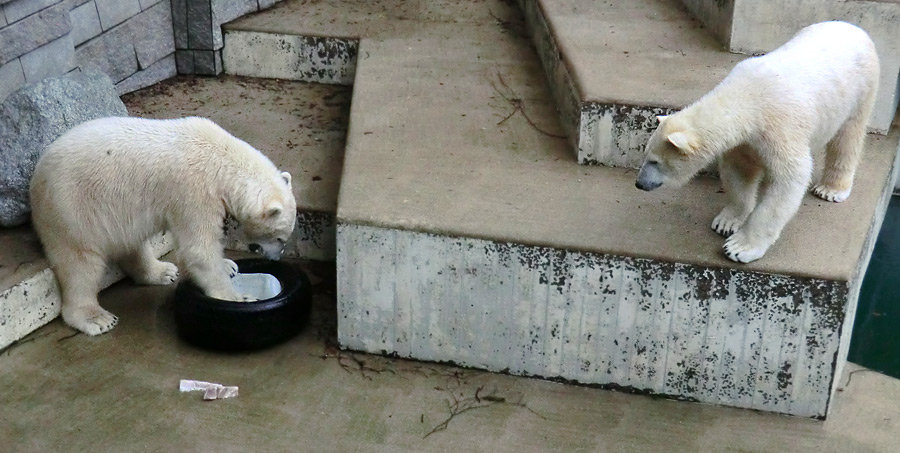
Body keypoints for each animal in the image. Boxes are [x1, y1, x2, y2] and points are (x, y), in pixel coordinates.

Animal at [29, 116, 298, 336]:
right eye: (280, 238)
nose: (275, 259)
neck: (222, 159)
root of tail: (37, 177)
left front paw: (228, 265)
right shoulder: (194, 192)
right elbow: (198, 249)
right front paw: (239, 298)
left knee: (132, 242)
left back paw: (162, 271)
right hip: (72, 207)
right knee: (80, 263)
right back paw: (96, 318)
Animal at [632, 20, 880, 262]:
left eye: (655, 162)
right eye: (645, 156)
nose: (639, 184)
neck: (748, 98)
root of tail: (854, 28)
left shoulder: (780, 126)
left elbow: (789, 180)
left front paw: (738, 248)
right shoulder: (744, 141)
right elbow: (739, 172)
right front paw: (726, 223)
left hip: (861, 88)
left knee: (848, 138)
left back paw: (830, 189)